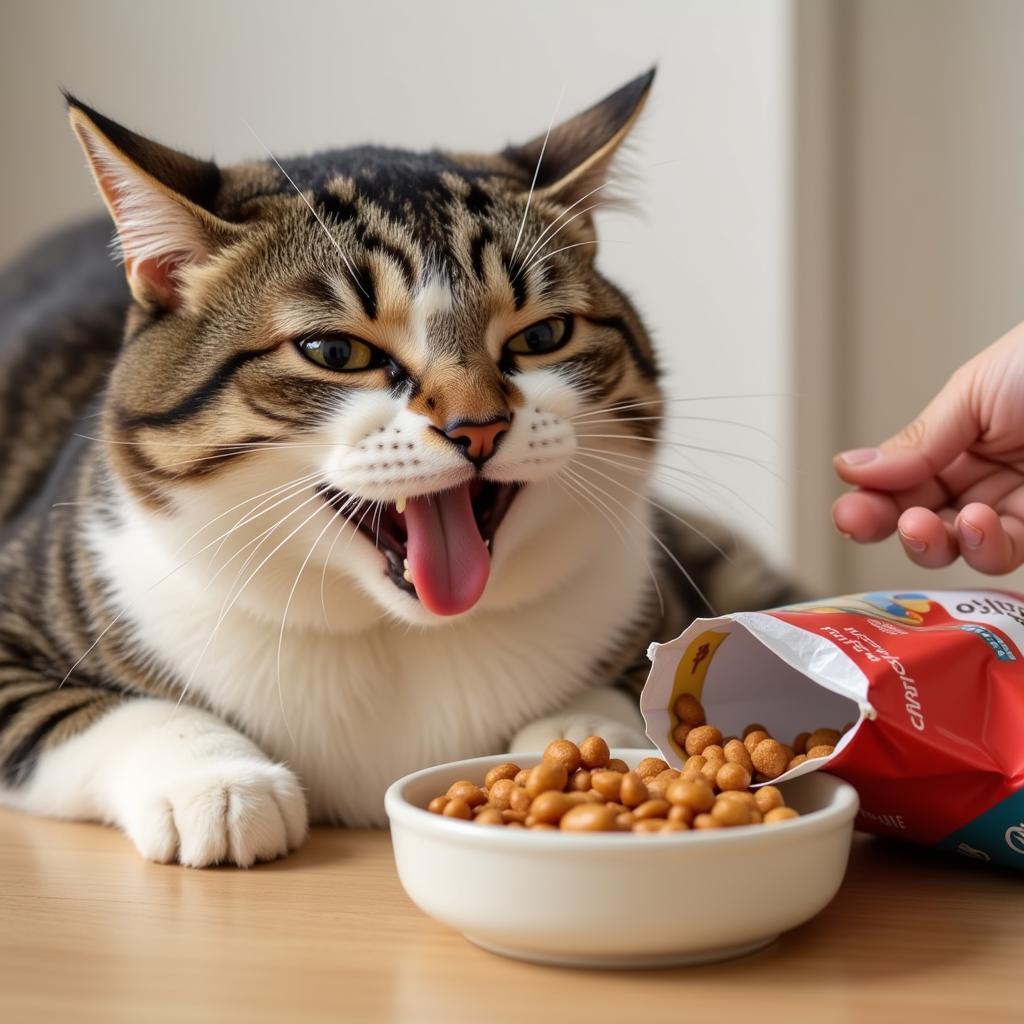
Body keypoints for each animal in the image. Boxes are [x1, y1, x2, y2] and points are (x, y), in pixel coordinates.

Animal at [0, 68, 794, 864]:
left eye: (542, 336)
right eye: (334, 351)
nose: (479, 427)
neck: (397, 641)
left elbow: (657, 681)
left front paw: (581, 733)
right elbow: (104, 710)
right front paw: (219, 782)